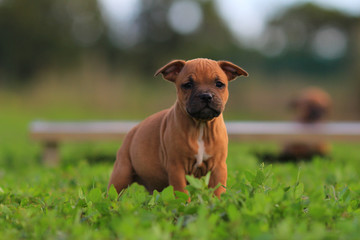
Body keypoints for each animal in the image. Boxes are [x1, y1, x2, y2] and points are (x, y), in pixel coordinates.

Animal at [107, 58, 248, 197]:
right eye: (188, 85)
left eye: (219, 84)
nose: (206, 96)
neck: (201, 126)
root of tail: (134, 129)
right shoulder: (177, 168)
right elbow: (182, 192)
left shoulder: (218, 168)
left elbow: (218, 191)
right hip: (121, 173)